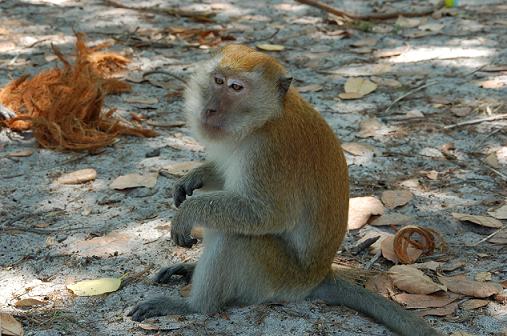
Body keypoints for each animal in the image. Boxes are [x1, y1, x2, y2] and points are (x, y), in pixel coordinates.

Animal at [129, 45, 442, 336]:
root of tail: (320, 276)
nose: (210, 109)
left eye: (236, 87)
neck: (265, 119)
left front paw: (188, 213)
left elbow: (268, 215)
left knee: (234, 235)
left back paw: (194, 305)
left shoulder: (269, 152)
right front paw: (194, 178)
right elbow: (223, 176)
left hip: (276, 277)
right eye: (217, 80)